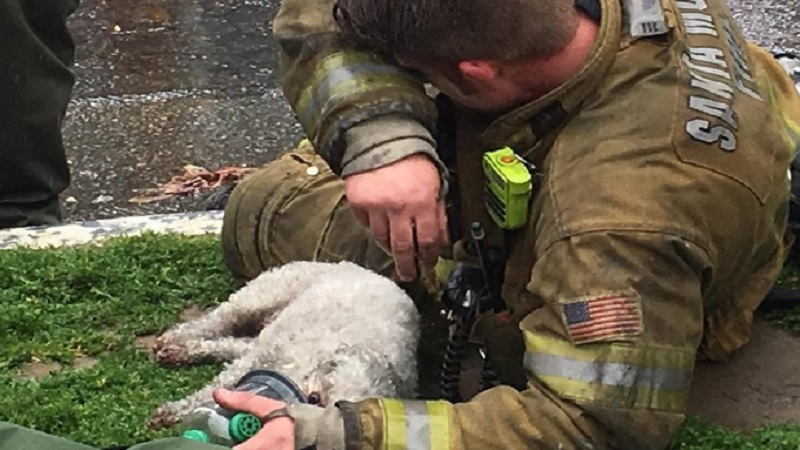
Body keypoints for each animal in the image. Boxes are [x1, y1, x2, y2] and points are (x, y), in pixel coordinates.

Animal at [145, 260, 418, 428]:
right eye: (314, 399)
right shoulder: (261, 356)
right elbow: (216, 387)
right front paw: (174, 411)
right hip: (260, 296)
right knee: (219, 320)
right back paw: (175, 341)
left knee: (236, 343)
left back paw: (179, 351)